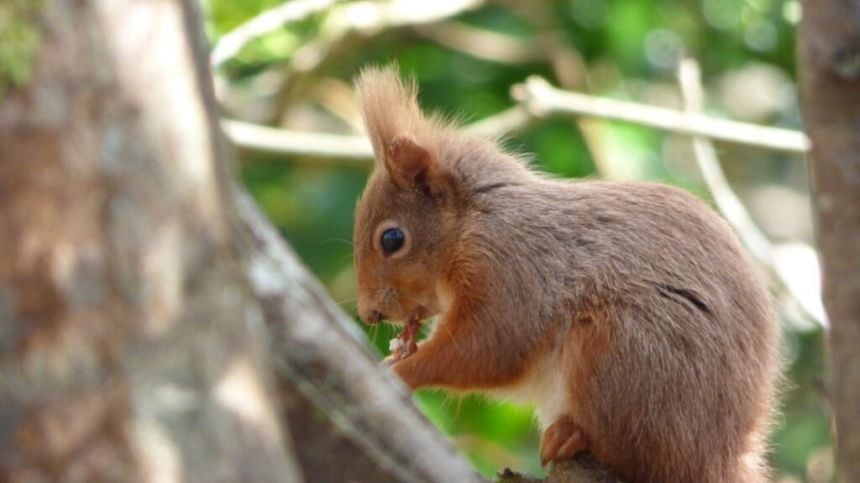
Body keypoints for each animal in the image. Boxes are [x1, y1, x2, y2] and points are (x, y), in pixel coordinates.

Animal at [352, 67, 784, 483]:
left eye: (392, 238)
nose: (369, 313)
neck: (473, 220)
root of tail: (723, 454)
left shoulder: (512, 269)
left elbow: (488, 348)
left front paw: (402, 372)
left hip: (618, 350)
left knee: (642, 457)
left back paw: (572, 435)